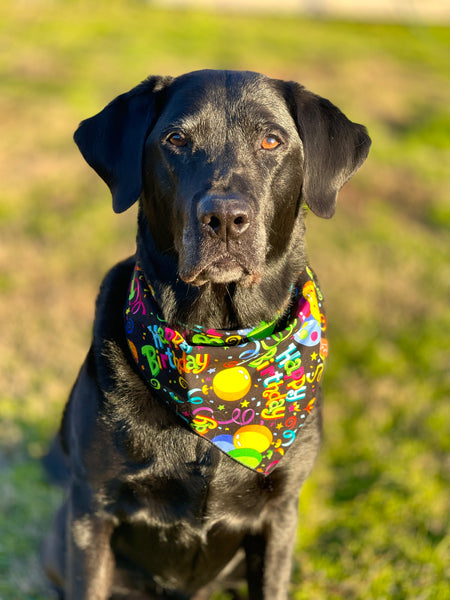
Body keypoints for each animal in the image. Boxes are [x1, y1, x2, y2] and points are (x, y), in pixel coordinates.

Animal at [43, 71, 370, 600]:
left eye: (271, 140)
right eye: (176, 139)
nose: (224, 219)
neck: (220, 347)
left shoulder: (280, 516)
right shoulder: (91, 511)